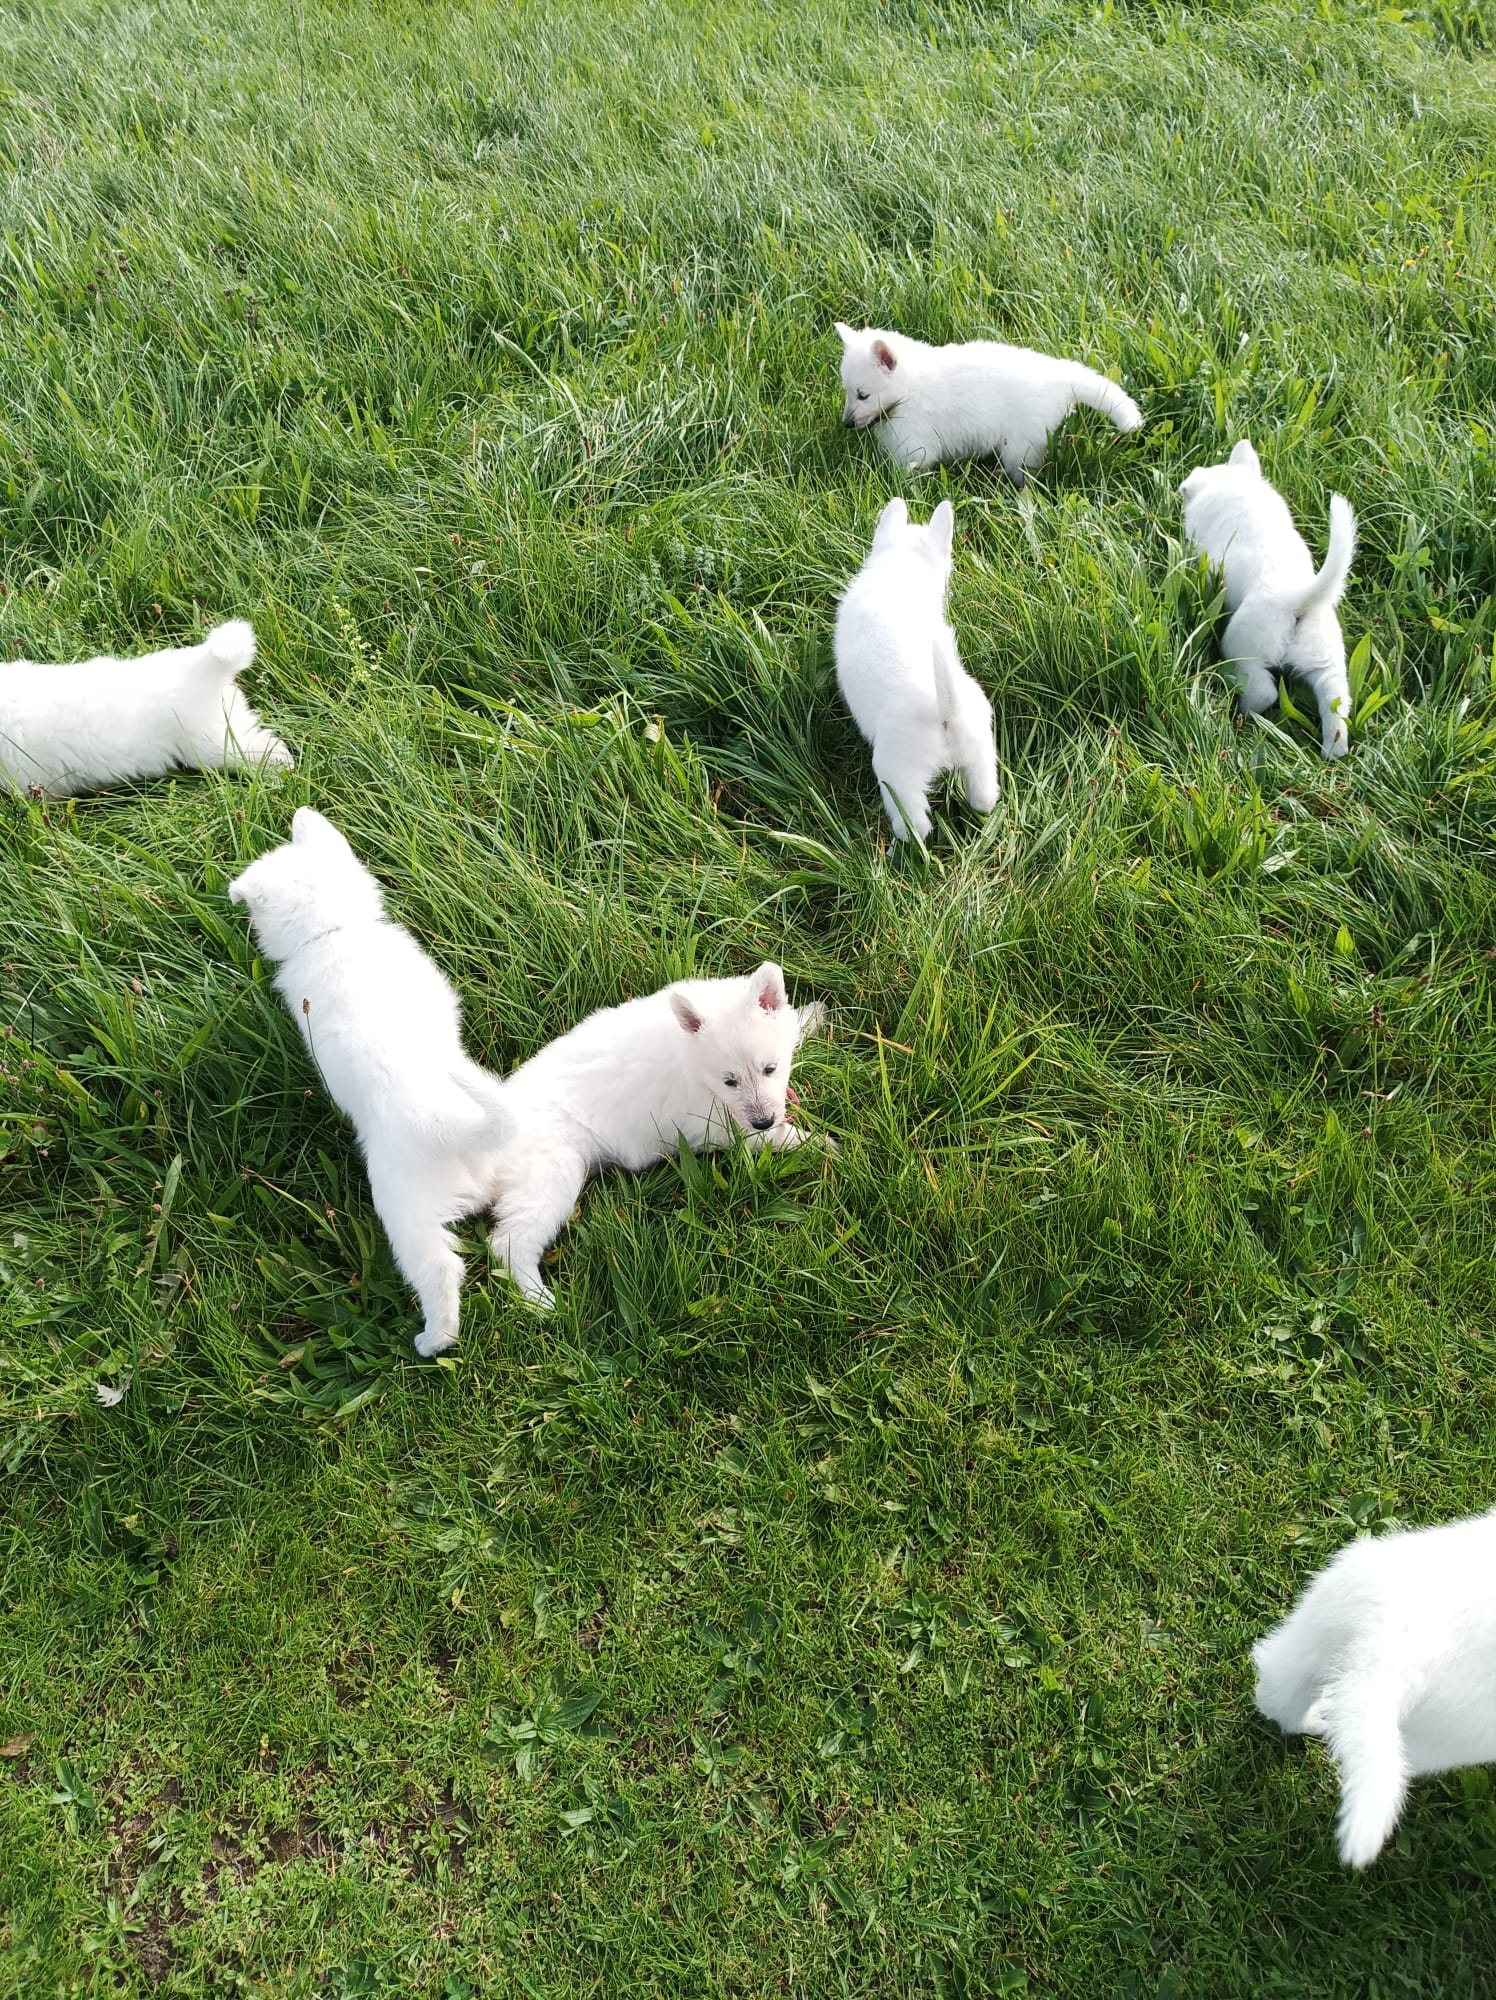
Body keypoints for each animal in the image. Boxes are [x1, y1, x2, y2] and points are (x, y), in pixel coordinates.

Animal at [486, 963, 829, 1309]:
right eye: (729, 1081)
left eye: (770, 1068)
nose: (763, 1120)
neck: (691, 1059)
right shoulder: (720, 1127)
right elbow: (784, 1137)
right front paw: (826, 1145)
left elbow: (793, 1025)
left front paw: (811, 1015)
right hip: (549, 1178)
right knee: (509, 1242)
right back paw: (541, 1301)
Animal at [833, 497, 998, 844]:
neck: (900, 568)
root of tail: (946, 709)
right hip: (980, 756)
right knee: (984, 798)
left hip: (896, 775)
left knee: (917, 826)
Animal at [834, 322, 1143, 480]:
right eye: (847, 391)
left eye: (863, 394)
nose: (847, 424)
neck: (909, 387)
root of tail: (1060, 376)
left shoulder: (916, 445)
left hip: (1020, 446)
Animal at [1181, 440, 1358, 759]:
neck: (1234, 482)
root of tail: (1299, 600)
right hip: (1327, 663)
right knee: (1336, 708)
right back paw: (1332, 752)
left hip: (1241, 648)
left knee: (1264, 692)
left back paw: (1240, 714)